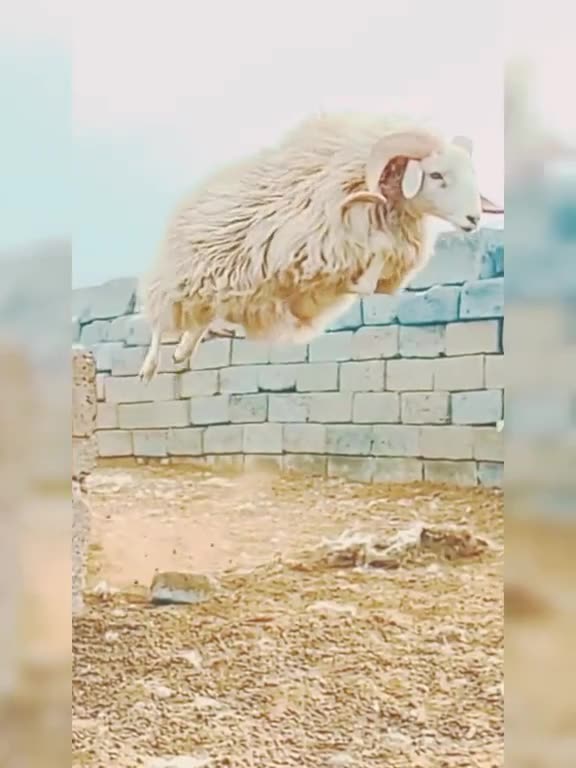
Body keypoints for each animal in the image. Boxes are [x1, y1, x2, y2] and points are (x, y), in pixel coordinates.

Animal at [138, 113, 502, 382]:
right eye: (437, 175)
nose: (474, 218)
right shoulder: (315, 246)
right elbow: (372, 261)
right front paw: (357, 280)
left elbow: (374, 271)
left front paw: (359, 282)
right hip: (180, 279)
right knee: (158, 323)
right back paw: (149, 367)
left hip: (215, 288)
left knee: (198, 322)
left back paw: (184, 351)